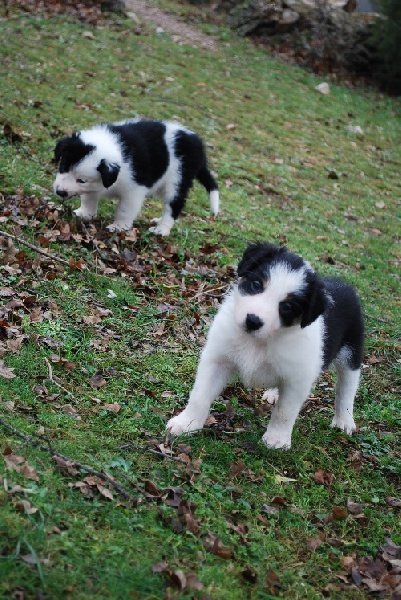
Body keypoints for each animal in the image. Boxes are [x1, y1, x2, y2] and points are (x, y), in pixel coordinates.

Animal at [53, 118, 219, 236]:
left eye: (81, 180)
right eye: (63, 168)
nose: (60, 192)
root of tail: (198, 145)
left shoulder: (134, 190)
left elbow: (125, 210)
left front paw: (119, 227)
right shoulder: (93, 187)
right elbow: (88, 198)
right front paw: (85, 214)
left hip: (177, 179)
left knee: (173, 205)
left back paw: (162, 229)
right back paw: (158, 221)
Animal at [166, 241, 362, 448]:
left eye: (287, 306)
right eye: (256, 284)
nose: (252, 321)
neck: (259, 340)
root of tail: (344, 284)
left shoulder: (297, 378)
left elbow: (285, 411)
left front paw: (277, 439)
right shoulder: (217, 358)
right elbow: (200, 395)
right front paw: (186, 423)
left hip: (352, 352)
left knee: (347, 387)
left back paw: (344, 420)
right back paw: (274, 393)